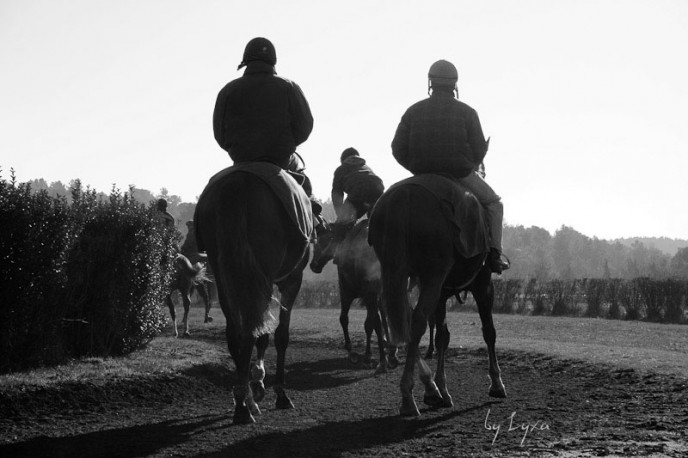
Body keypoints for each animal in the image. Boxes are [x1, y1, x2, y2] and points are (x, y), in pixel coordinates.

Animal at [194, 165, 312, 426]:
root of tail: (237, 184)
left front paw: (255, 386)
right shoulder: (291, 280)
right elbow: (279, 335)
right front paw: (276, 391)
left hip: (224, 274)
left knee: (236, 333)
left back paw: (243, 399)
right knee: (250, 332)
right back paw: (245, 405)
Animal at [310, 218, 400, 372]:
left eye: (320, 240)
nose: (313, 265)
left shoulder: (348, 292)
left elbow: (347, 319)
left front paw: (355, 352)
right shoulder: (373, 296)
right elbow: (376, 321)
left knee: (376, 321)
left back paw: (383, 357)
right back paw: (391, 352)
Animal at [368, 176, 508, 418]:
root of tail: (404, 196)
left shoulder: (442, 294)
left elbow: (444, 336)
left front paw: (442, 389)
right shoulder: (483, 285)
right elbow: (489, 332)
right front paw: (496, 383)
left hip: (398, 276)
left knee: (401, 321)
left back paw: (428, 388)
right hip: (432, 277)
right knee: (416, 322)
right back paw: (409, 397)